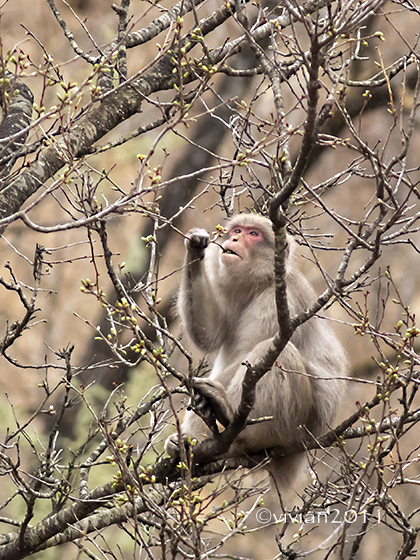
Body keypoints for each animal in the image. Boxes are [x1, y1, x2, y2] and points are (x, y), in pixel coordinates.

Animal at [165, 212, 348, 488]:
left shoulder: (280, 302)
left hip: (292, 427)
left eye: (253, 234)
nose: (234, 239)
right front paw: (196, 247)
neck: (262, 282)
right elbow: (210, 335)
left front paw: (210, 410)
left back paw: (227, 414)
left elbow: (251, 357)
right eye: (237, 231)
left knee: (279, 354)